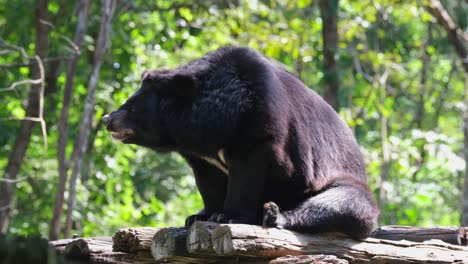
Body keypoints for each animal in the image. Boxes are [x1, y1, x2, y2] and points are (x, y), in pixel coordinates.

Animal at [103, 46, 380, 238]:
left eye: (132, 107)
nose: (107, 119)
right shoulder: (201, 155)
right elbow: (209, 182)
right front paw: (200, 216)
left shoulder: (257, 128)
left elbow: (246, 176)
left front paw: (228, 216)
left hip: (341, 184)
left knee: (340, 204)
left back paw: (274, 215)